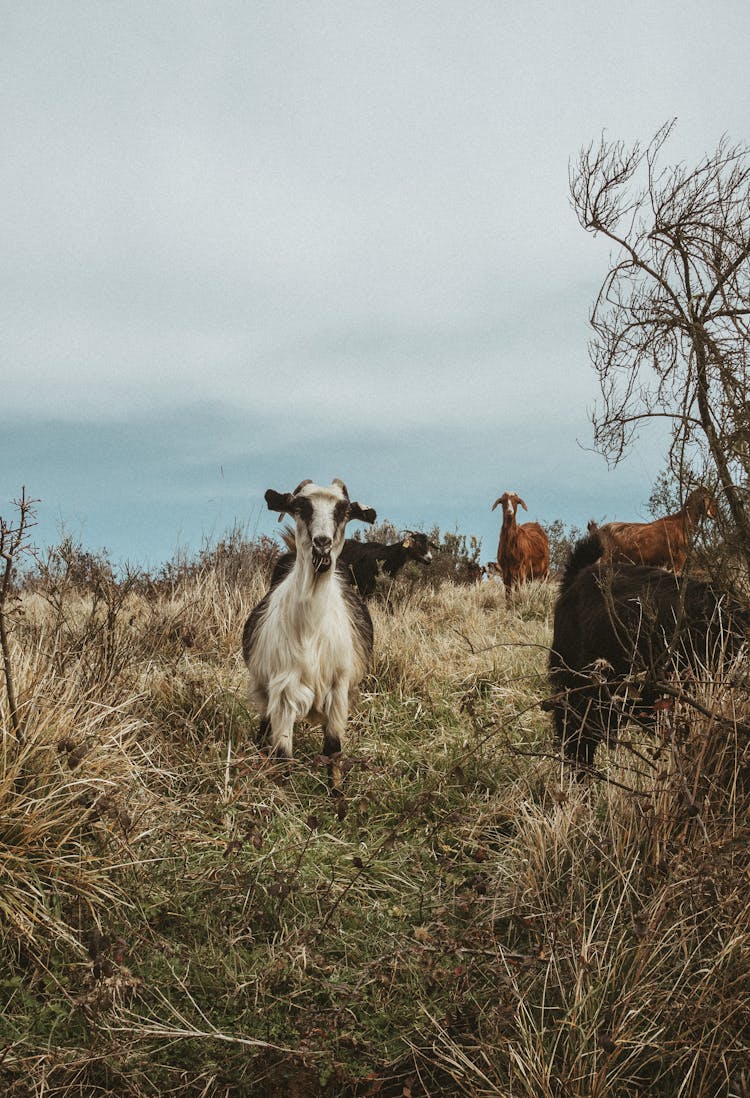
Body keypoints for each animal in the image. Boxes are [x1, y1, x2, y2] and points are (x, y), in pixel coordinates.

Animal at [243, 476, 377, 794]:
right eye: (300, 506)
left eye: (343, 511)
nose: (322, 544)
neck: (311, 634)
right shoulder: (283, 691)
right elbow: (283, 755)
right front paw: (284, 797)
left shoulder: (339, 689)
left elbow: (333, 749)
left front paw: (336, 795)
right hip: (265, 690)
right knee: (264, 727)